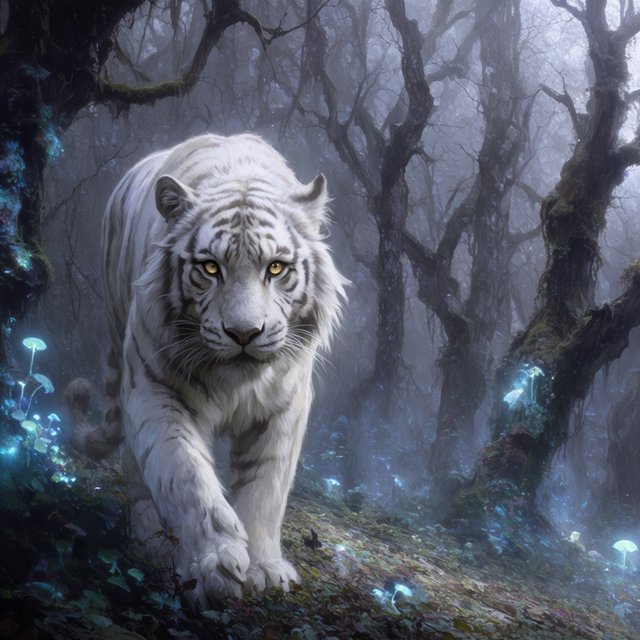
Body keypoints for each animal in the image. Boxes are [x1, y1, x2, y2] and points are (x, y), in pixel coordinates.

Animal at [71, 133, 346, 610]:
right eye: (210, 267)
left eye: (276, 267)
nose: (244, 332)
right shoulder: (154, 388)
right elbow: (186, 476)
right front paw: (213, 567)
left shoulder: (286, 407)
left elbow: (265, 489)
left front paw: (264, 570)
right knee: (136, 470)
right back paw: (148, 542)